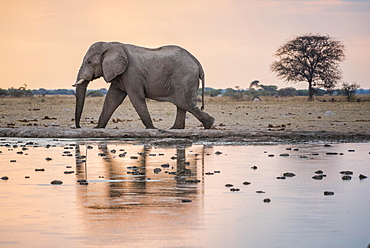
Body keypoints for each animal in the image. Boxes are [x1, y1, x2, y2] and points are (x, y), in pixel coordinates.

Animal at [73, 41, 214, 129]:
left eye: (89, 62)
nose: (78, 126)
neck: (111, 45)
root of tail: (197, 63)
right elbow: (112, 99)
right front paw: (97, 128)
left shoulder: (131, 73)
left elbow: (136, 98)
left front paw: (152, 129)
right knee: (182, 103)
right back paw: (175, 129)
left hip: (184, 76)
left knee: (185, 102)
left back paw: (209, 124)